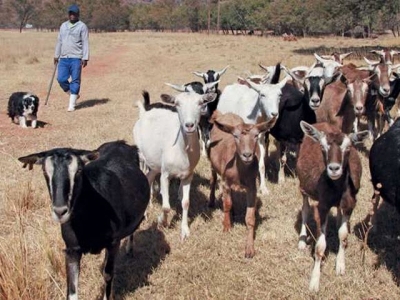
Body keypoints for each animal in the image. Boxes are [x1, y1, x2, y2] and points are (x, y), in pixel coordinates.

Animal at [18, 141, 150, 300]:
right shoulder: (71, 249)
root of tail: (120, 143)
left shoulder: (113, 242)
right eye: (44, 171)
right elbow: (72, 290)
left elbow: (108, 274)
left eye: (79, 170)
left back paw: (130, 249)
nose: (60, 211)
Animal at [134, 89, 216, 239]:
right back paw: (145, 213)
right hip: (141, 155)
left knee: (149, 177)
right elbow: (166, 206)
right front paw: (162, 222)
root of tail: (144, 112)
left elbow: (186, 202)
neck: (181, 150)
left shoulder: (188, 175)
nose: (189, 125)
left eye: (201, 102)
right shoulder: (165, 174)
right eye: (177, 104)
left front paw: (185, 230)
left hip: (155, 163)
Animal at [208, 110, 276, 258]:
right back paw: (211, 202)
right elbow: (227, 204)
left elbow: (250, 217)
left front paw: (249, 249)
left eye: (256, 135)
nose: (247, 155)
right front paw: (227, 227)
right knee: (213, 179)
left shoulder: (252, 187)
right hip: (212, 163)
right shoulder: (225, 182)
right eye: (235, 136)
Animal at [296, 120, 368, 292]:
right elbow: (320, 245)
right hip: (303, 187)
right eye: (322, 147)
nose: (334, 168)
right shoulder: (322, 206)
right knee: (305, 210)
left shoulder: (350, 203)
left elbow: (343, 234)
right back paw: (302, 240)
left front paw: (340, 266)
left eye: (348, 147)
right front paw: (314, 281)